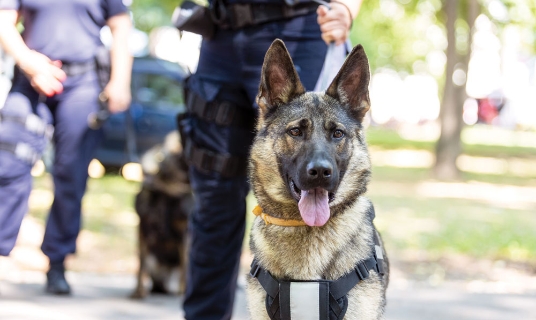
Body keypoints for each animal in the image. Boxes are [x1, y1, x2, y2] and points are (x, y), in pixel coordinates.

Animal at [129, 132, 193, 298]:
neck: (168, 186)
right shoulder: (143, 228)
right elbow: (141, 265)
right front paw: (138, 291)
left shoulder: (184, 233)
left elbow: (185, 264)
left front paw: (183, 291)